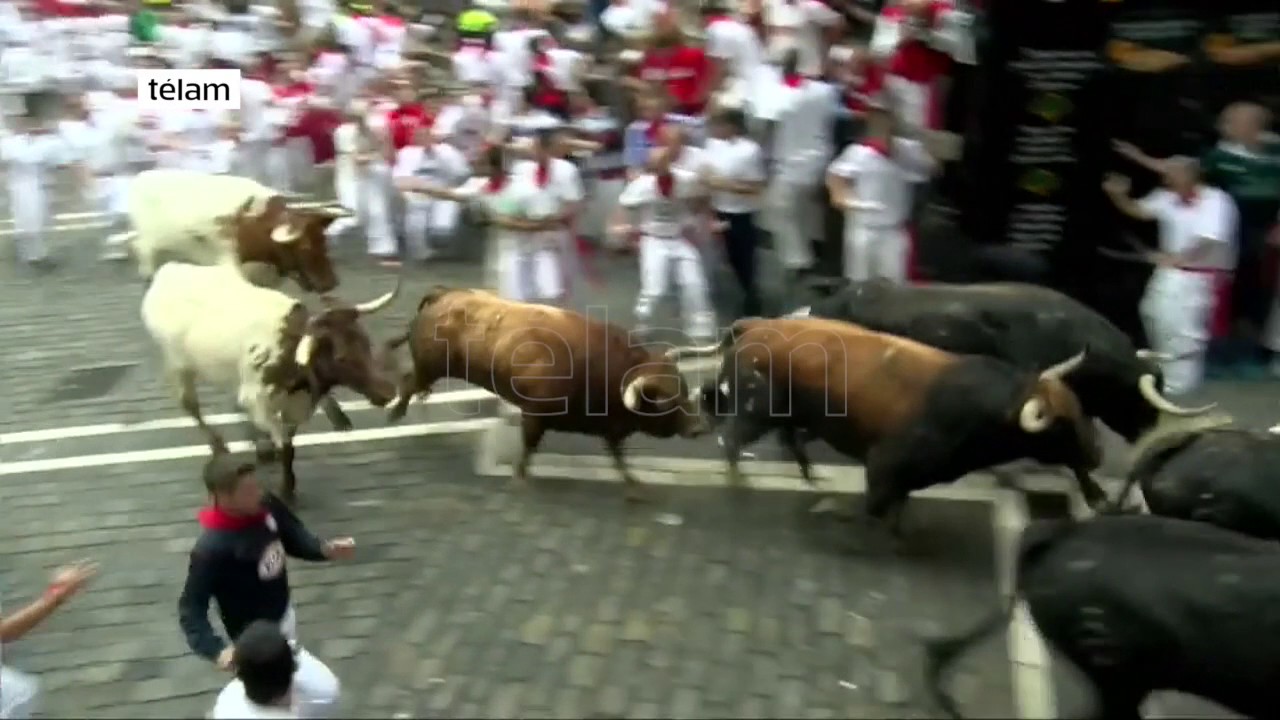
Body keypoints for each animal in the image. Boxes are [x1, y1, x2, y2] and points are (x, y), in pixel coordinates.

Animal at [139, 260, 399, 497]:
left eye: (365, 342)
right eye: (341, 357)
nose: (388, 392)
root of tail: (168, 270)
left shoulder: (295, 405)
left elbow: (289, 443)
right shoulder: (258, 402)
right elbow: (285, 446)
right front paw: (286, 487)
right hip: (178, 366)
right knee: (191, 406)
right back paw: (218, 444)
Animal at [384, 285, 716, 499]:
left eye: (684, 389)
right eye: (665, 401)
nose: (700, 427)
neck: (603, 367)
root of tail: (443, 296)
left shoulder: (610, 427)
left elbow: (618, 457)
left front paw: (634, 484)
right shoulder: (535, 416)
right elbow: (528, 448)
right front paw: (519, 479)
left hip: (431, 369)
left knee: (413, 383)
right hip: (430, 367)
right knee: (409, 382)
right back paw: (395, 413)